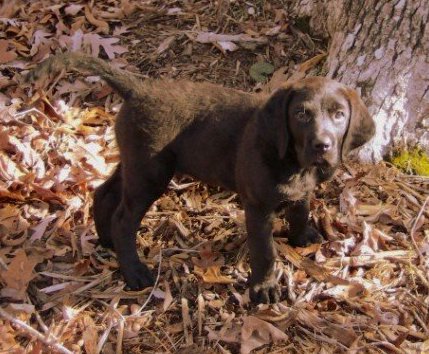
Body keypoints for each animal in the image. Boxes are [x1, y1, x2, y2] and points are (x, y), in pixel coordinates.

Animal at [27, 54, 374, 302]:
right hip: (151, 172)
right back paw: (134, 272)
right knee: (123, 218)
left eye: (339, 114)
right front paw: (263, 289)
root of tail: (139, 88)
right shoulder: (257, 206)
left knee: (104, 193)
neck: (293, 160)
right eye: (301, 114)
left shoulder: (302, 189)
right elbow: (265, 251)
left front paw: (304, 237)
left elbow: (300, 209)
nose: (322, 145)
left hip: (135, 161)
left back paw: (106, 240)